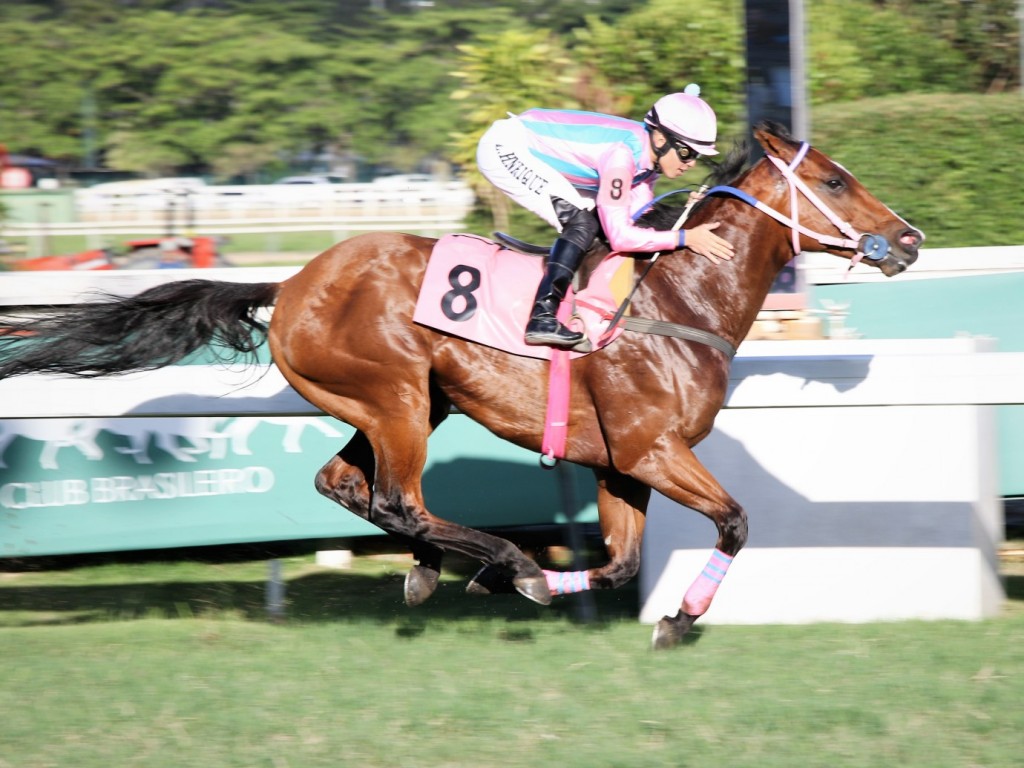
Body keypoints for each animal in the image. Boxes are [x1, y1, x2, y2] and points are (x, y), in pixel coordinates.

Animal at [0, 124, 921, 651]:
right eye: (834, 181)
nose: (910, 240)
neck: (678, 298)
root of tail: (290, 283)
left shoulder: (620, 463)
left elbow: (623, 563)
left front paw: (561, 589)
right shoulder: (652, 450)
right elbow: (734, 521)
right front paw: (674, 618)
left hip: (402, 402)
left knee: (348, 485)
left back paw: (439, 569)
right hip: (398, 395)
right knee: (396, 497)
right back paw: (498, 560)